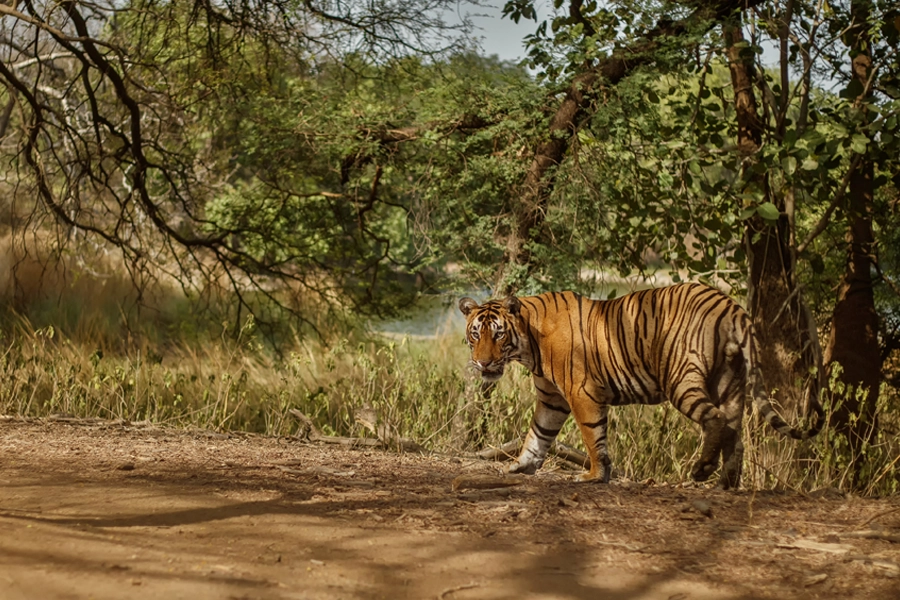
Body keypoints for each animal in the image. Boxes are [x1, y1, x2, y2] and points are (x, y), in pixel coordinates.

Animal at [458, 282, 824, 489]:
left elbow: (592, 436)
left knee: (716, 420)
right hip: (730, 381)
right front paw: (520, 465)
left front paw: (594, 476)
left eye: (498, 334)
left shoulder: (580, 392)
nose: (483, 363)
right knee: (735, 431)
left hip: (681, 378)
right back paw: (726, 483)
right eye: (476, 334)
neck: (528, 344)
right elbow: (537, 434)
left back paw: (702, 471)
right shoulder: (552, 398)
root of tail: (729, 304)